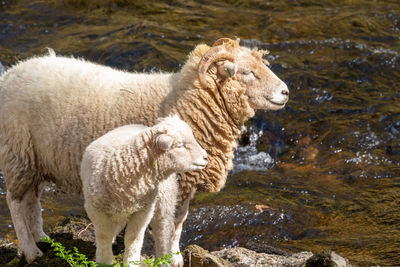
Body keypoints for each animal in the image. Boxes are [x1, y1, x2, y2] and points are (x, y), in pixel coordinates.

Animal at [80, 115, 208, 266]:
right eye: (180, 146)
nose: (206, 157)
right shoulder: (95, 209)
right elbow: (104, 236)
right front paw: (104, 262)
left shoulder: (143, 211)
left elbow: (133, 239)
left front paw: (131, 263)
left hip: (163, 202)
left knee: (163, 232)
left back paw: (164, 260)